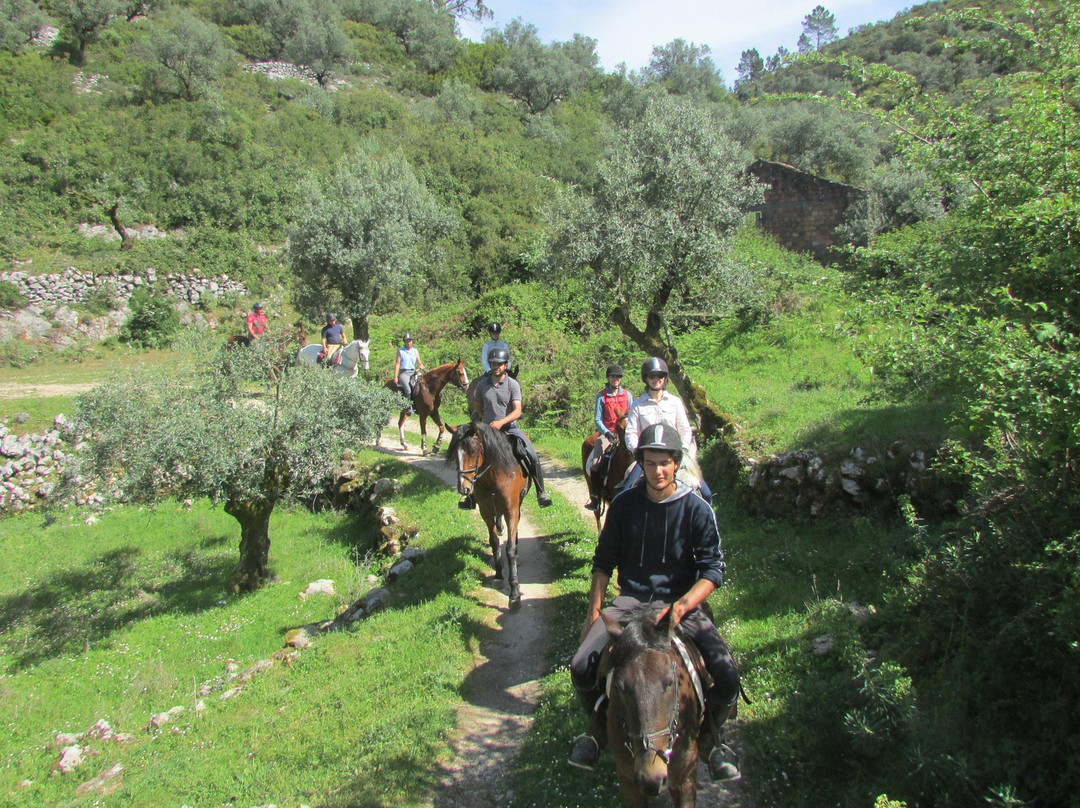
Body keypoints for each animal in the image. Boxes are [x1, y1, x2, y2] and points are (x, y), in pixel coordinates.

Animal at [444, 419, 529, 609]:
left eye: (472, 451)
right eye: (455, 454)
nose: (463, 488)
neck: (493, 478)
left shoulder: (511, 511)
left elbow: (510, 549)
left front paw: (514, 594)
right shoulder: (486, 512)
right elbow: (494, 542)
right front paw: (498, 574)